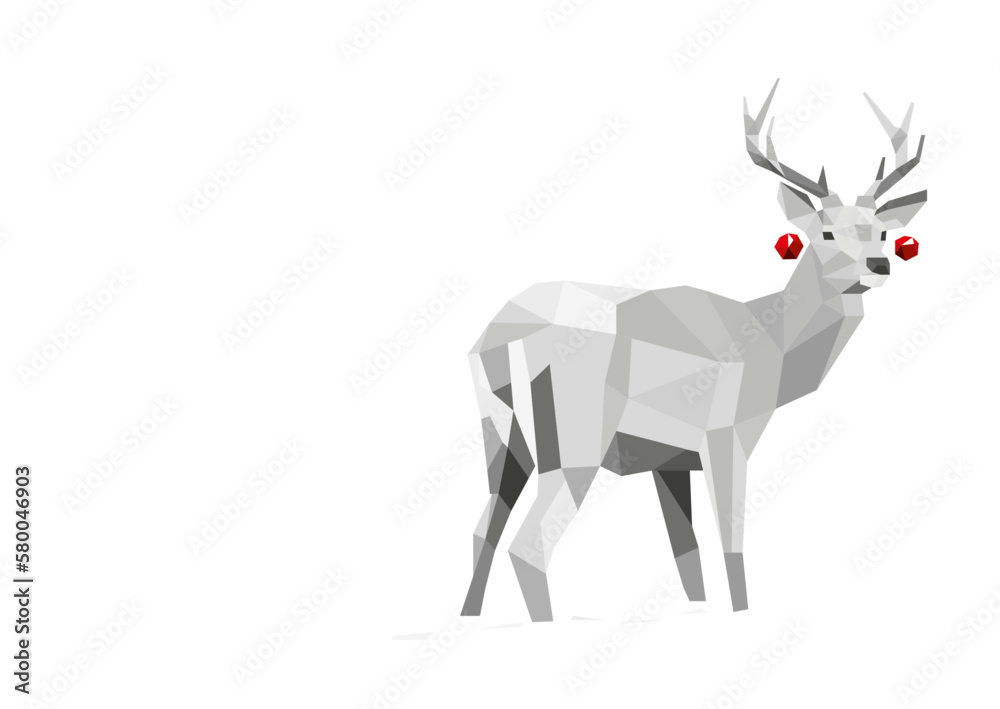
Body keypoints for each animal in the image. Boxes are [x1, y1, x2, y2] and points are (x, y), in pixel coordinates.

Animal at [460, 80, 927, 620]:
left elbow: (688, 552)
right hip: (575, 440)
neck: (771, 347)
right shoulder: (726, 436)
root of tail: (500, 337)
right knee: (530, 543)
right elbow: (730, 541)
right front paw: (741, 613)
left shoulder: (669, 462)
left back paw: (467, 618)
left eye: (884, 230)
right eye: (826, 230)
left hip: (502, 437)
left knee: (483, 529)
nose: (879, 265)